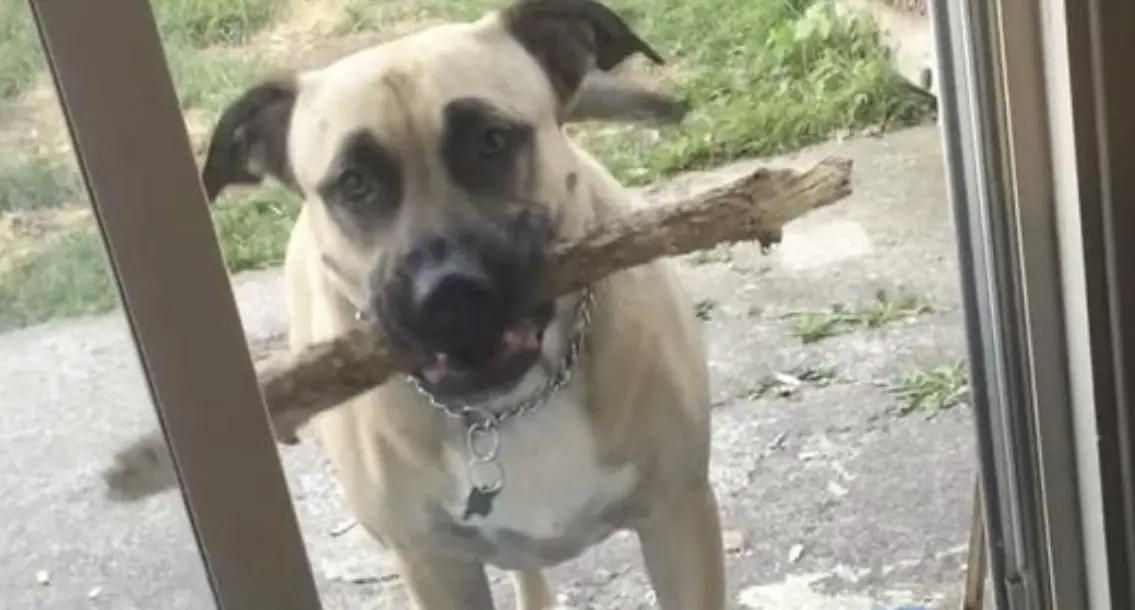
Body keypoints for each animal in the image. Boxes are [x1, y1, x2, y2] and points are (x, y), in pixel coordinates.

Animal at [199, 0, 725, 608]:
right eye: (353, 183)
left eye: (492, 141)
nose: (446, 291)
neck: (509, 408)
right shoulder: (436, 569)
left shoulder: (676, 517)